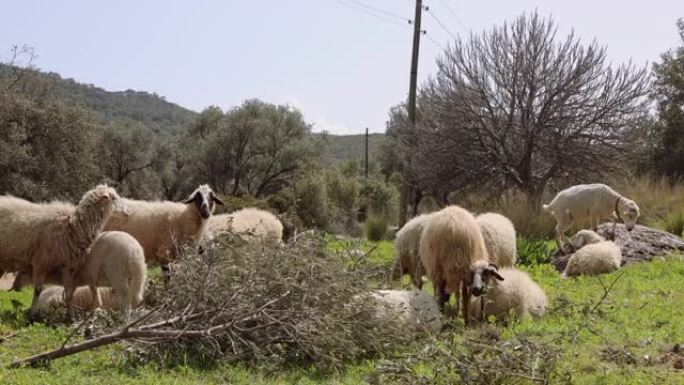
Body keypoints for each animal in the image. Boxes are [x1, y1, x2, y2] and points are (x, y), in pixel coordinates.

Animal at [0, 184, 121, 316]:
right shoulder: (41, 262)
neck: (74, 225)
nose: (126, 211)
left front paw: (72, 316)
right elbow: (38, 290)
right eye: (114, 198)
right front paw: (32, 313)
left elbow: (69, 294)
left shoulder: (68, 266)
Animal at [11, 230, 147, 320]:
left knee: (126, 300)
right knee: (136, 298)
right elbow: (95, 296)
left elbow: (69, 298)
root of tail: (134, 252)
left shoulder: (70, 281)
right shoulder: (90, 280)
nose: (14, 286)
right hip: (138, 276)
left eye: (23, 272)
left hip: (118, 274)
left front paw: (72, 317)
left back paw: (125, 320)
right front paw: (93, 312)